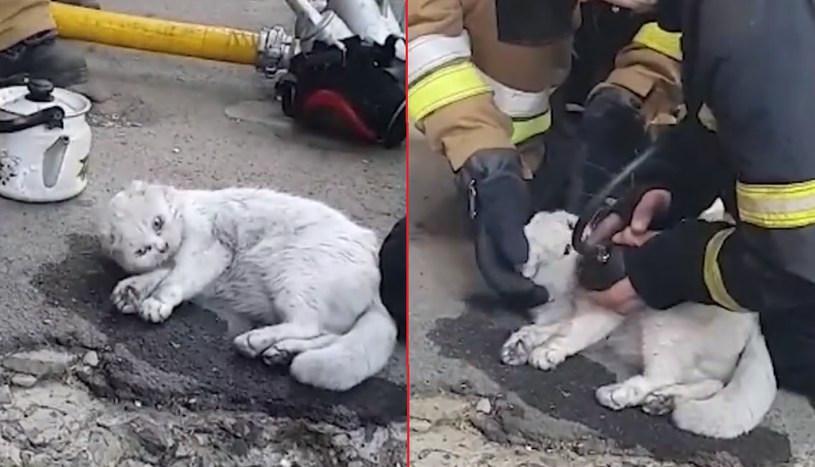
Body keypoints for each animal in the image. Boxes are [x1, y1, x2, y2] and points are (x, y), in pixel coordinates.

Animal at [97, 181, 396, 394]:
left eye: (157, 223)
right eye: (142, 250)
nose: (161, 246)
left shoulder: (211, 253)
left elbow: (173, 281)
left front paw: (155, 302)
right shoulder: (175, 262)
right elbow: (158, 274)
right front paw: (131, 291)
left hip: (292, 272)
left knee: (308, 325)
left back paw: (255, 341)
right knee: (327, 334)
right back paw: (280, 352)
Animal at [504, 210, 776, 440]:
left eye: (572, 230)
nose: (592, 220)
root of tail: (754, 323)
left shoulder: (607, 313)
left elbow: (572, 332)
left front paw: (547, 351)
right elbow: (553, 328)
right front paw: (523, 343)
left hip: (664, 324)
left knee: (663, 375)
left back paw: (620, 394)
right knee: (711, 383)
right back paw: (663, 400)